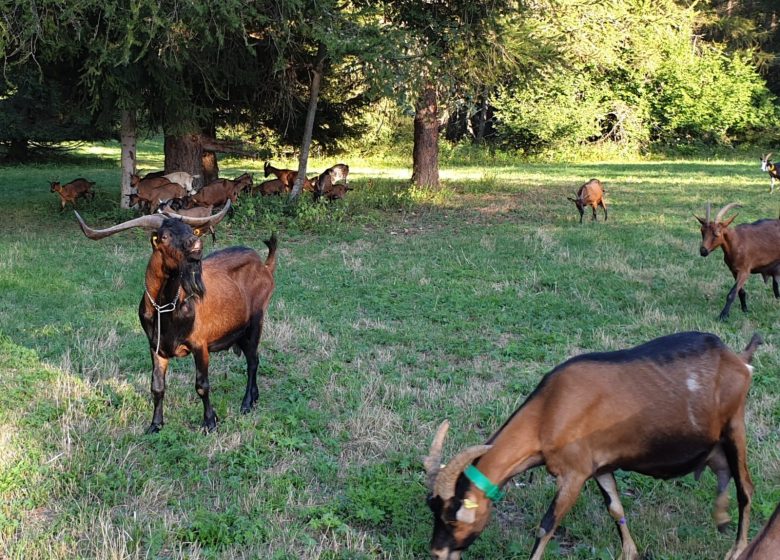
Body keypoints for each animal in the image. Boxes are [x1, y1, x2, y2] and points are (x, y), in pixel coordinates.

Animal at [75, 201, 278, 434]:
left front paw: (210, 422)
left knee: (253, 361)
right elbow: (157, 387)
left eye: (191, 230)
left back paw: (246, 404)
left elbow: (202, 385)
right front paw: (155, 424)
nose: (195, 244)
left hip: (255, 321)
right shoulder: (156, 347)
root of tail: (264, 266)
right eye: (164, 236)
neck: (165, 309)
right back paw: (254, 398)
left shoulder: (200, 345)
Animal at [426, 330, 760, 560]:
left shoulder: (574, 474)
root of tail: (738, 360)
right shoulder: (600, 466)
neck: (550, 410)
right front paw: (630, 553)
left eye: (452, 515)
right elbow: (615, 508)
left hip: (735, 426)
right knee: (724, 474)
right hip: (716, 444)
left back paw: (737, 550)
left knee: (746, 487)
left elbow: (547, 526)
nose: (437, 552)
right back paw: (722, 519)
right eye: (433, 508)